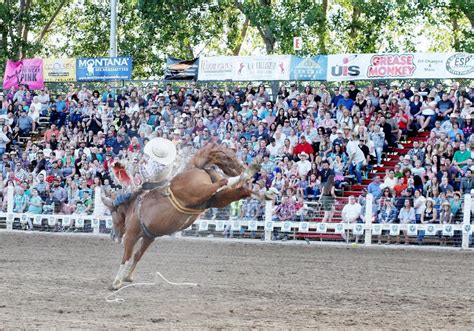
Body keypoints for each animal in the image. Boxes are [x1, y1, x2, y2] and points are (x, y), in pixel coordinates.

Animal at [109, 145, 268, 290]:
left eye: (113, 214)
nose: (114, 236)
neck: (134, 207)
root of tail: (196, 167)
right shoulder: (149, 237)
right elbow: (138, 255)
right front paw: (128, 277)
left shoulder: (131, 235)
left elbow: (127, 256)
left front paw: (117, 282)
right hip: (215, 198)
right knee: (238, 190)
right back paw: (258, 187)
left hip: (199, 191)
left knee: (222, 183)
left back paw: (250, 176)